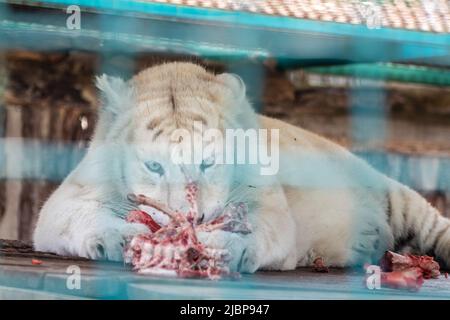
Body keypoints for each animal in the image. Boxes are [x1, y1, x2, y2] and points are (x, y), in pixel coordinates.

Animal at [33, 62, 450, 270]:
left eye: (208, 162)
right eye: (153, 166)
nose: (192, 218)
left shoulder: (271, 209)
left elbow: (258, 231)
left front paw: (222, 247)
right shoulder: (65, 201)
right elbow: (80, 218)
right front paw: (123, 238)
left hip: (398, 196)